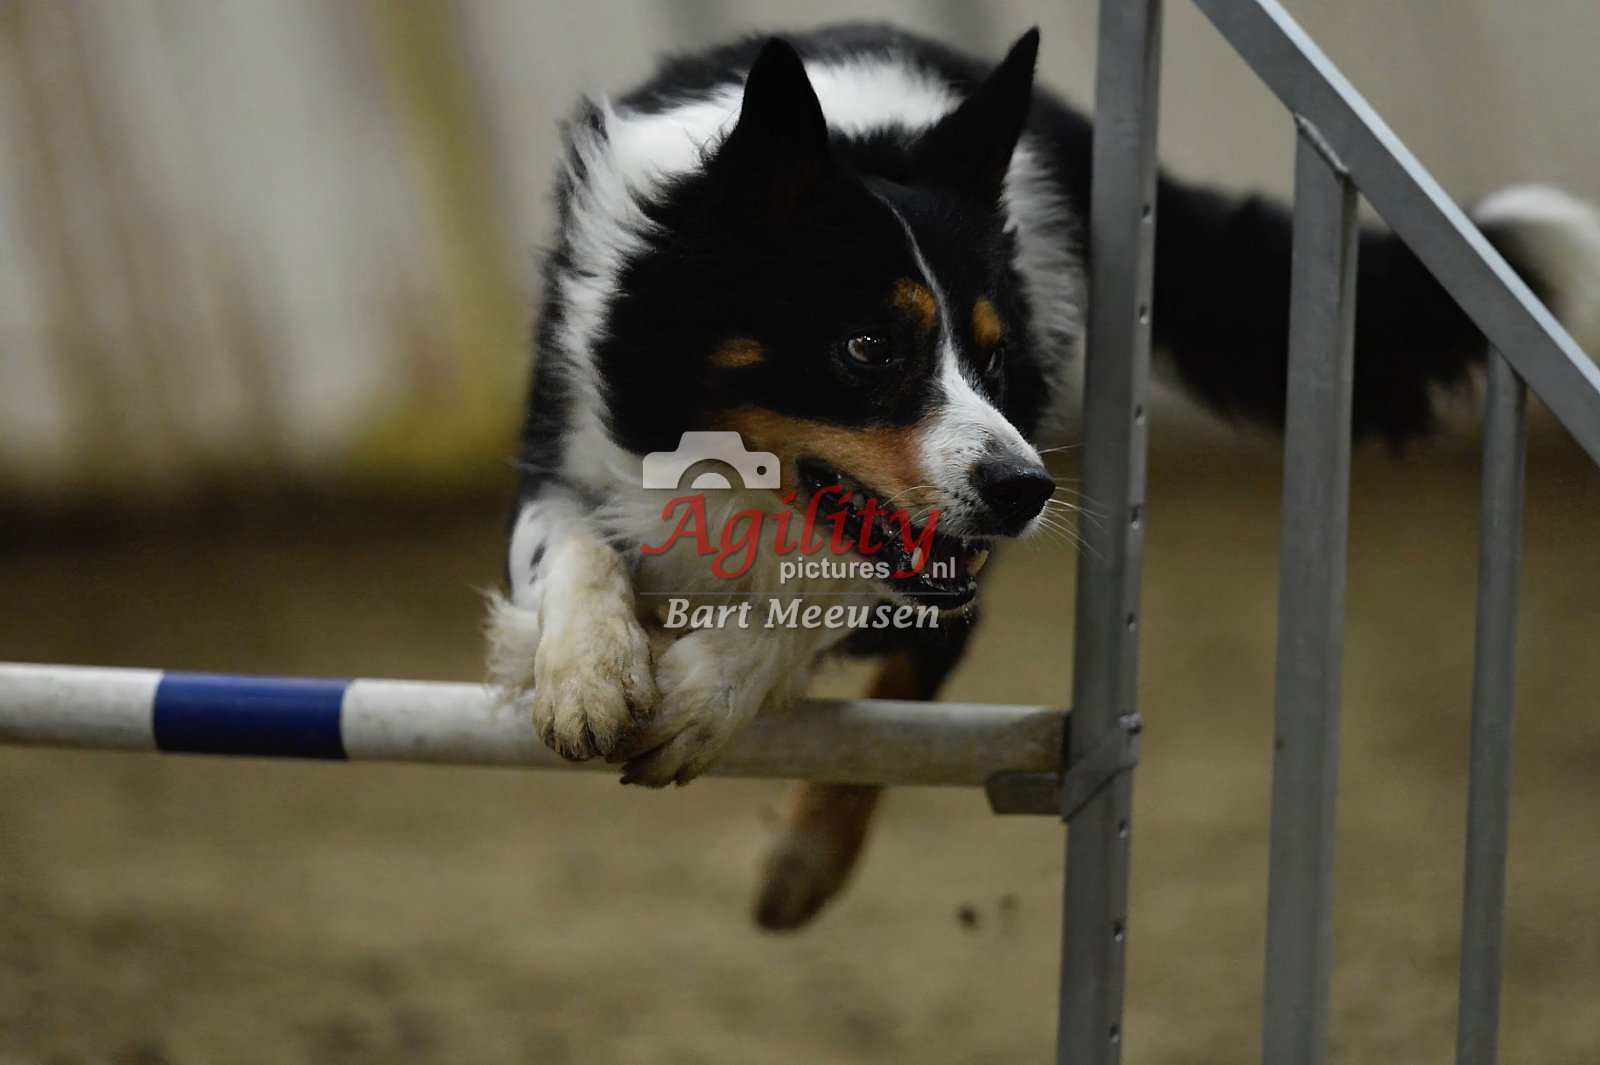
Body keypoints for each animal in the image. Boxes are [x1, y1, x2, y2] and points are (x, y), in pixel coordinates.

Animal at [487, 24, 1600, 931]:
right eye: (868, 345)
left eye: (995, 354)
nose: (1027, 492)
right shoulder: (565, 439)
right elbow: (573, 546)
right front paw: (587, 676)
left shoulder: (924, 545)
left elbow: (823, 594)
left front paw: (700, 698)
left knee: (932, 647)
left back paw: (805, 861)